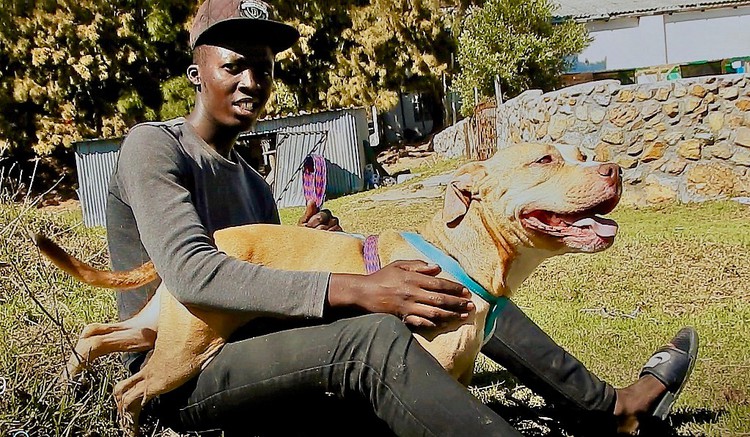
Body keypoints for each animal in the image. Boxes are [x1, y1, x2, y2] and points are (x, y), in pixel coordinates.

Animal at [36, 142, 624, 432]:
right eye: (545, 160)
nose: (616, 169)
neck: (459, 257)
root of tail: (210, 238)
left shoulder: (456, 373)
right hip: (185, 353)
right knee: (129, 389)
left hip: (163, 329)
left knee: (95, 335)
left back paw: (65, 389)